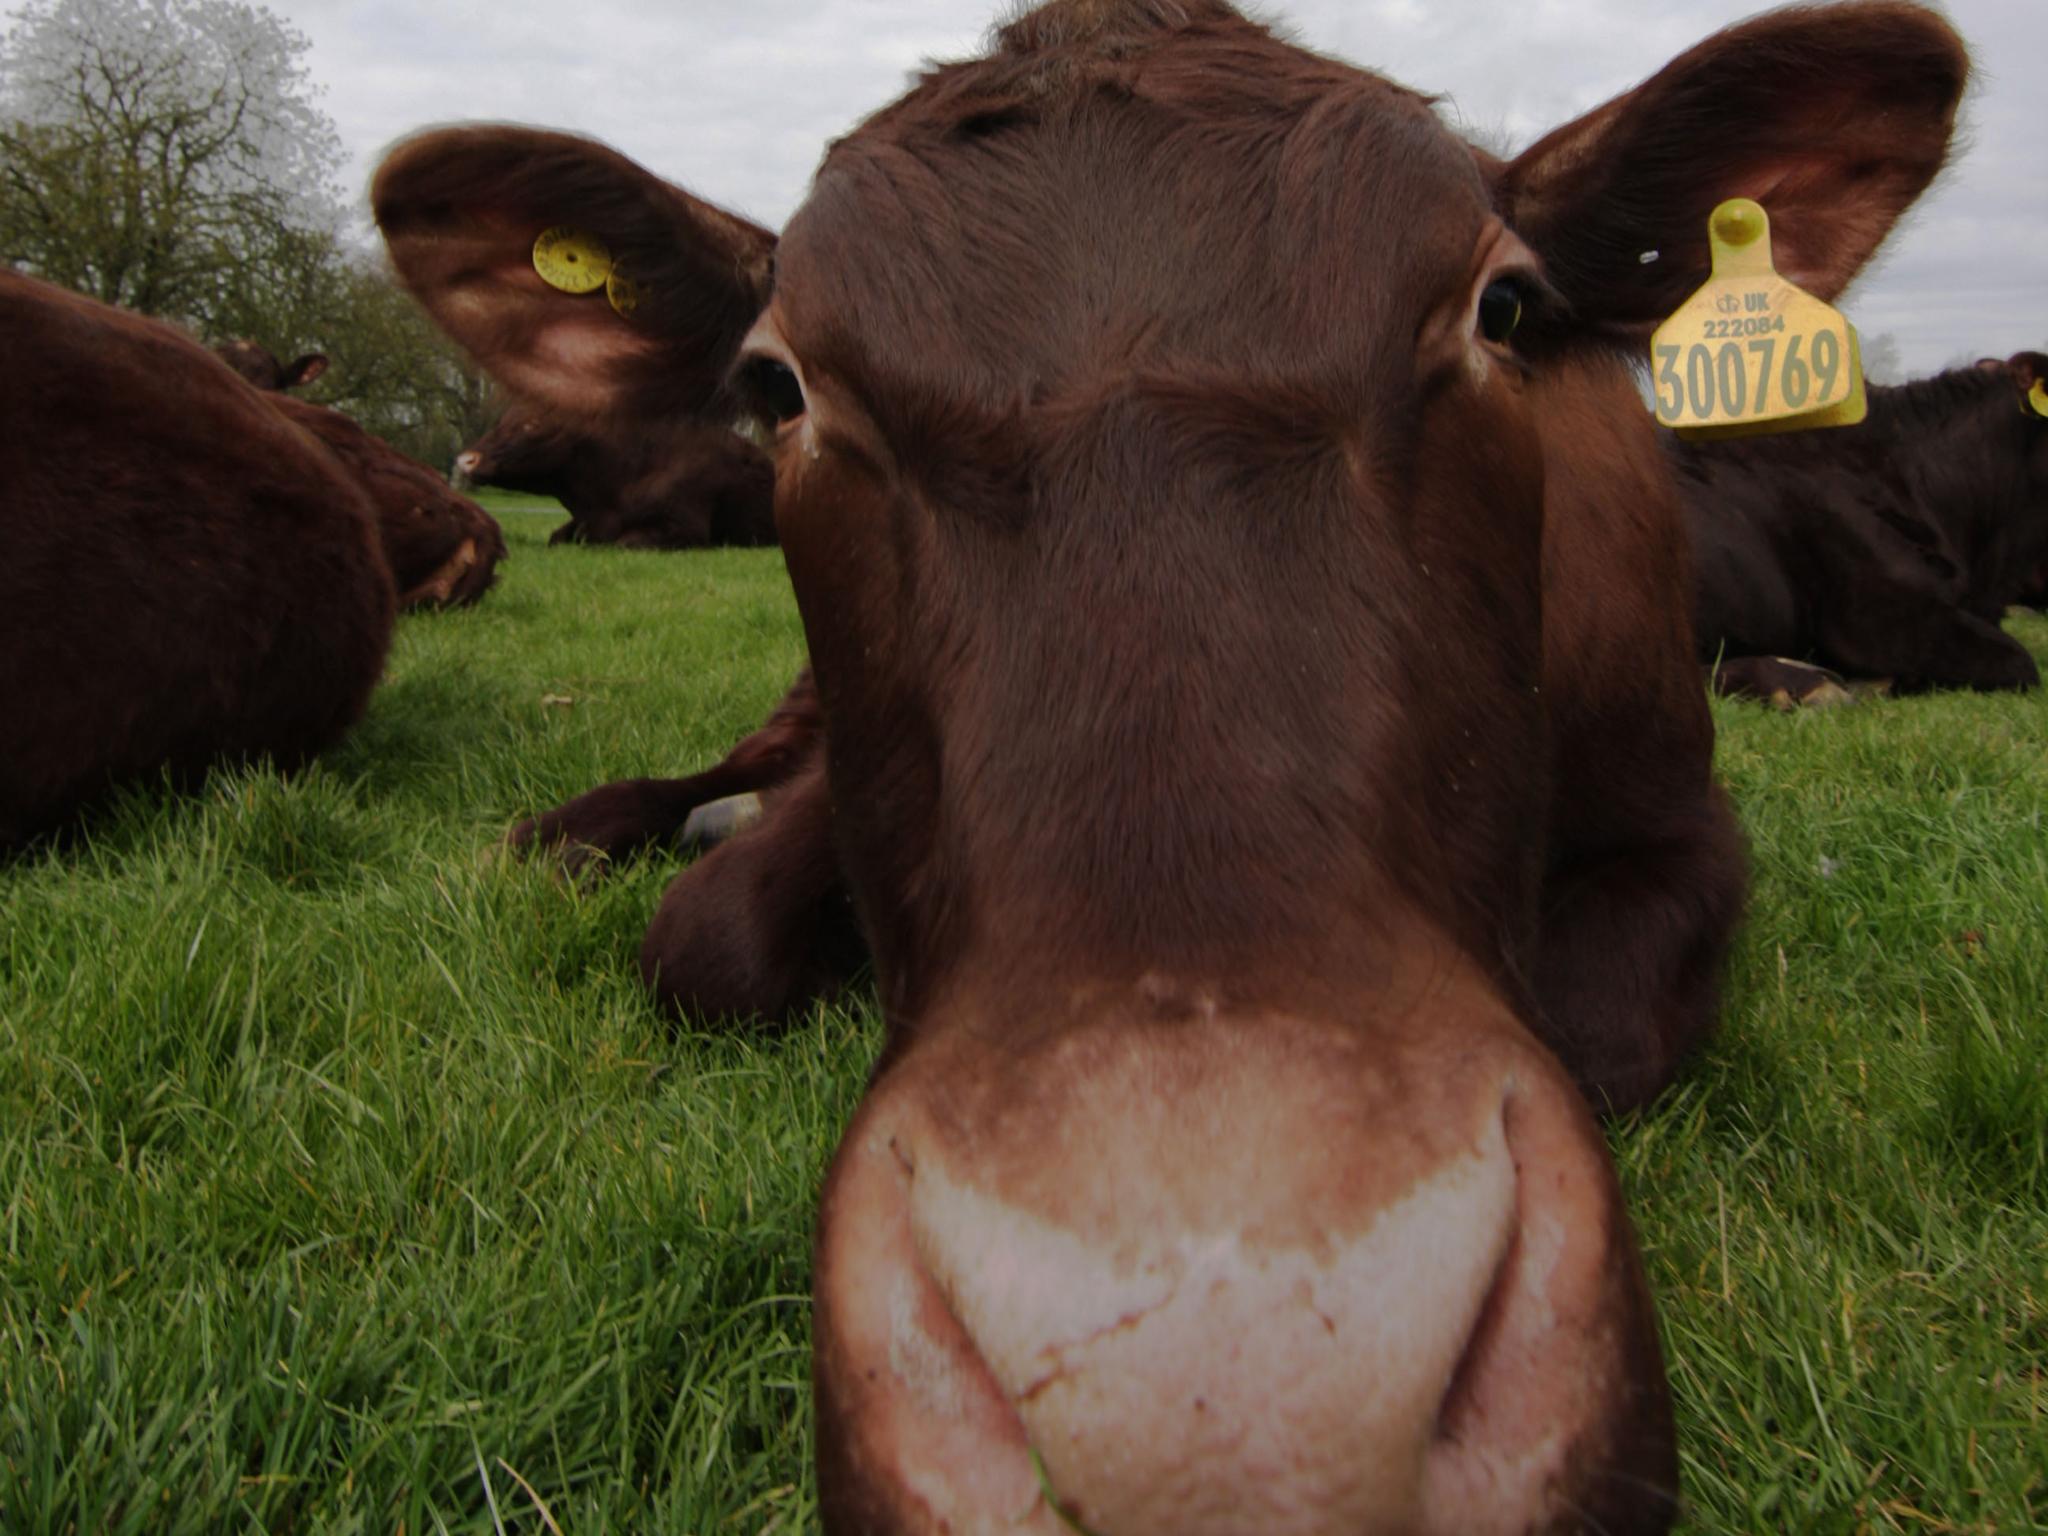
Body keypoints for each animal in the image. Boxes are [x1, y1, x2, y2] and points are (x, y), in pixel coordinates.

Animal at [450, 393, 774, 548]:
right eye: (502, 419)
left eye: (532, 424)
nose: (466, 459)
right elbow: (556, 538)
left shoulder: (686, 527)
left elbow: (623, 543)